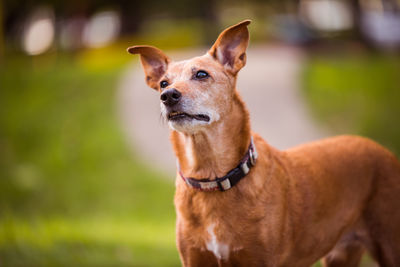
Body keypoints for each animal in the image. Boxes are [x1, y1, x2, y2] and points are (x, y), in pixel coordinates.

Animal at [127, 19, 400, 266]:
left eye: (201, 74)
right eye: (163, 83)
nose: (168, 96)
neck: (211, 175)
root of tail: (377, 146)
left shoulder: (260, 259)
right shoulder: (195, 260)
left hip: (389, 243)